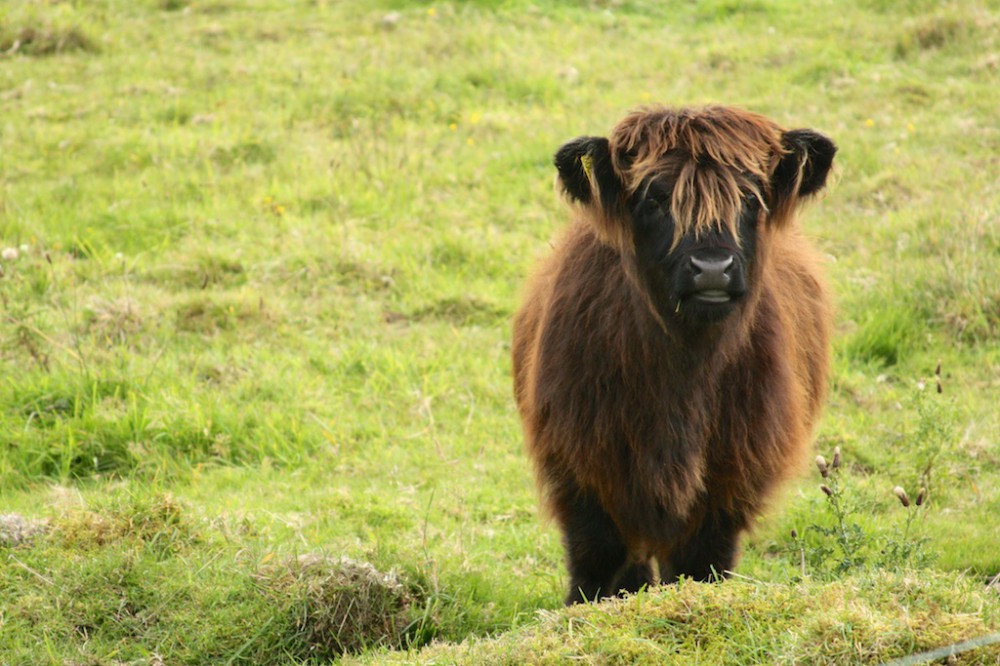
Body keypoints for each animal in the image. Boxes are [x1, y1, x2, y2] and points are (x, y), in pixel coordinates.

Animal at [516, 102, 836, 600]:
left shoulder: (731, 481)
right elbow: (599, 560)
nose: (713, 267)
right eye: (654, 199)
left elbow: (699, 564)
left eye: (749, 199)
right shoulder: (579, 466)